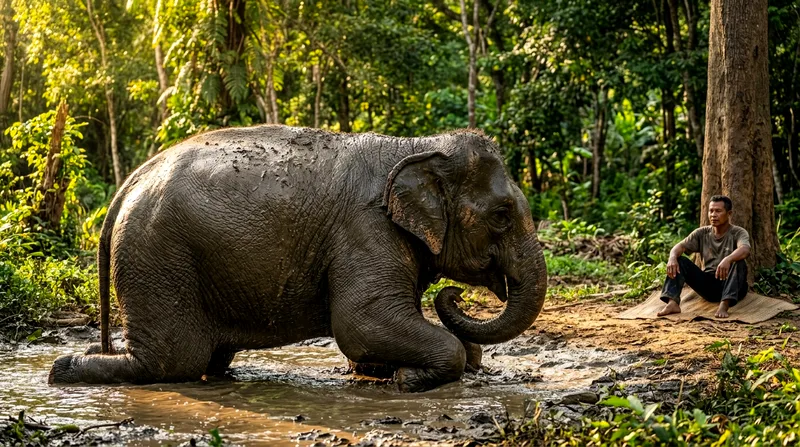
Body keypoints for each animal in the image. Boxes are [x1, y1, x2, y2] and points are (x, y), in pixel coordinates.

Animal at [49, 125, 547, 392]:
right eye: (502, 216)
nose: (453, 296)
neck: (414, 146)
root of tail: (129, 183)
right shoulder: (364, 230)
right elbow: (360, 322)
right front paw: (408, 380)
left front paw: (393, 371)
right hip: (156, 253)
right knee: (173, 362)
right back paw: (62, 369)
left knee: (203, 359)